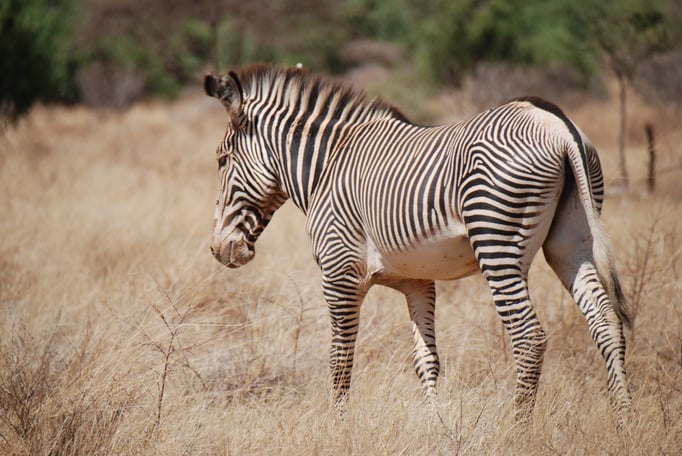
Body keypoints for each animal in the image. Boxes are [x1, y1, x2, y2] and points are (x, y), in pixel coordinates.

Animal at [204, 64, 632, 425]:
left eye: (222, 160)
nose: (218, 251)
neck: (327, 167)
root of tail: (555, 123)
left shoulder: (339, 271)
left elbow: (340, 357)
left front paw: (337, 427)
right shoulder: (417, 280)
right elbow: (426, 359)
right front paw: (435, 425)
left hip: (497, 242)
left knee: (529, 337)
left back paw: (518, 428)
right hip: (572, 241)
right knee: (606, 321)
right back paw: (622, 420)